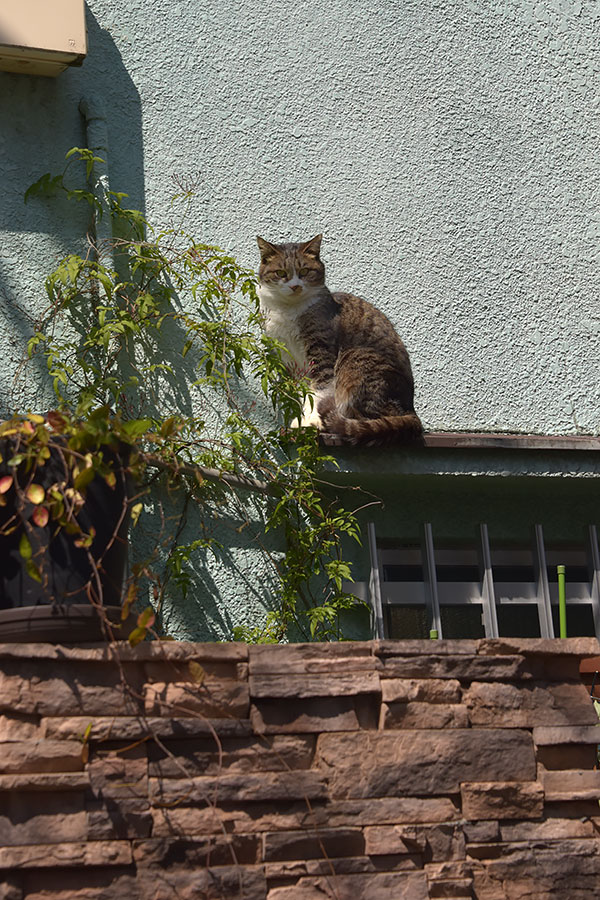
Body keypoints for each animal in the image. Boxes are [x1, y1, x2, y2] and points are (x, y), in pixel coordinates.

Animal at [256, 232, 422, 442]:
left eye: (304, 271)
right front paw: (300, 421)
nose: (295, 286)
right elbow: (302, 393)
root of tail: (411, 410)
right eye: (280, 273)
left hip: (354, 358)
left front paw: (311, 421)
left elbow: (318, 390)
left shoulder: (321, 349)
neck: (288, 309)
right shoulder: (288, 358)